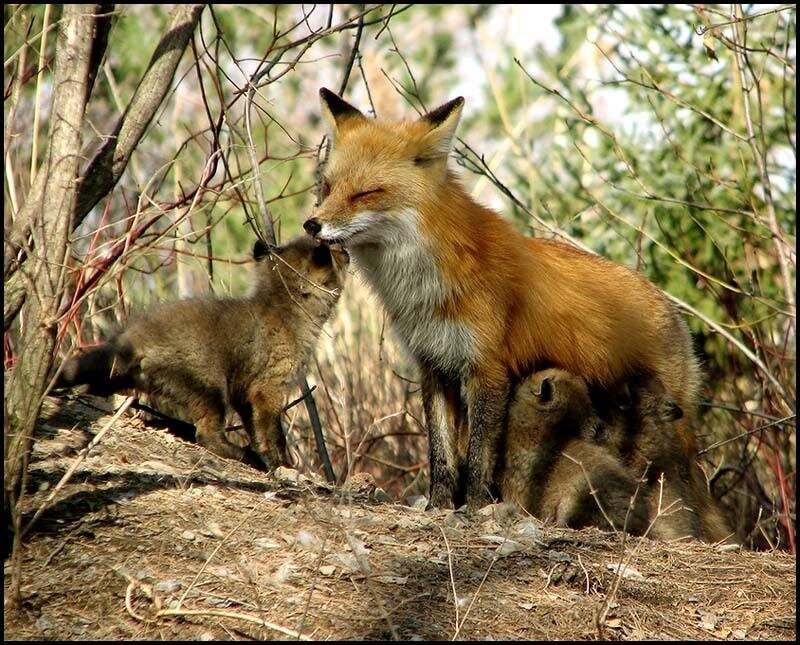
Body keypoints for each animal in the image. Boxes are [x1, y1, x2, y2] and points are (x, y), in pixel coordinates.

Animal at [54, 236, 349, 471]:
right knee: (206, 436)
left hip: (118, 379)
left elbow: (255, 429)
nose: (345, 249)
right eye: (334, 251)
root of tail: (130, 338)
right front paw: (281, 463)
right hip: (209, 388)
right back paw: (244, 455)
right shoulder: (267, 387)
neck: (289, 314)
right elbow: (273, 432)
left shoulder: (243, 391)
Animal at [303, 88, 702, 512]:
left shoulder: (489, 369)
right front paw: (439, 506)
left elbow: (480, 455)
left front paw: (477, 507)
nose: (311, 224)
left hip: (668, 420)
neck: (424, 283)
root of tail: (668, 304)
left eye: (365, 193)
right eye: (327, 188)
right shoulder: (434, 365)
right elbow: (441, 455)